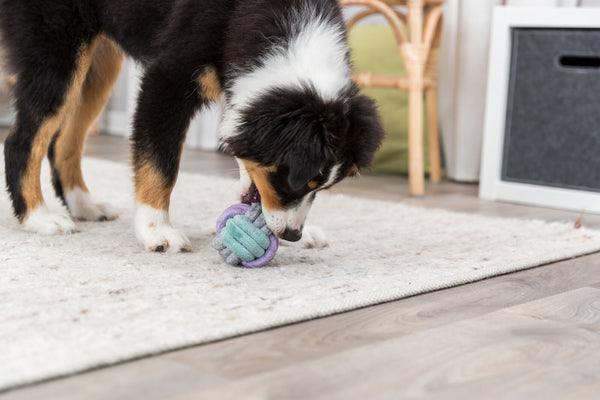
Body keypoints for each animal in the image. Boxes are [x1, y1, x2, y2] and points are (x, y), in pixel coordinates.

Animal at [0, 0, 384, 252]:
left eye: (321, 187)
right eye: (296, 179)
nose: (292, 235)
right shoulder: (167, 78)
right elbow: (160, 165)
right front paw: (157, 230)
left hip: (100, 62)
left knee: (65, 141)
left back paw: (84, 206)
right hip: (57, 48)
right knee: (22, 141)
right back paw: (39, 218)